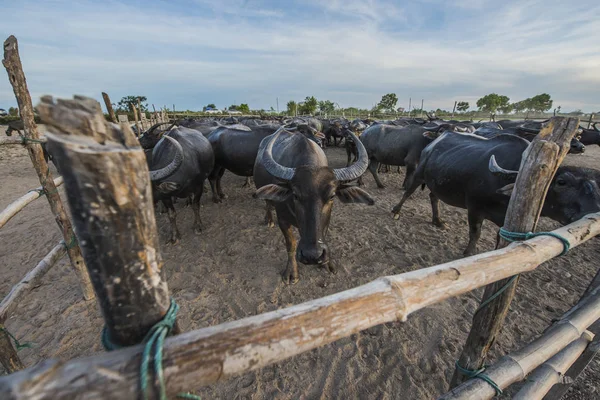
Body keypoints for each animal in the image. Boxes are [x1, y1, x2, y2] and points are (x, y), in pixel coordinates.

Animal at [254, 129, 376, 284]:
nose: (312, 255)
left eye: (332, 196)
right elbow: (291, 244)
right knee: (268, 203)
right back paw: (269, 220)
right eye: (295, 195)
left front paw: (328, 264)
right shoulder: (283, 220)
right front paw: (291, 272)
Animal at [392, 132, 600, 256]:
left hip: (437, 182)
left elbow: (500, 238)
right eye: (561, 182)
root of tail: (433, 142)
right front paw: (469, 253)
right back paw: (396, 211)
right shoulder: (474, 208)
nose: (593, 212)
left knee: (433, 197)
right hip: (420, 174)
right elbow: (475, 232)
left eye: (598, 185)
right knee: (408, 191)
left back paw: (438, 221)